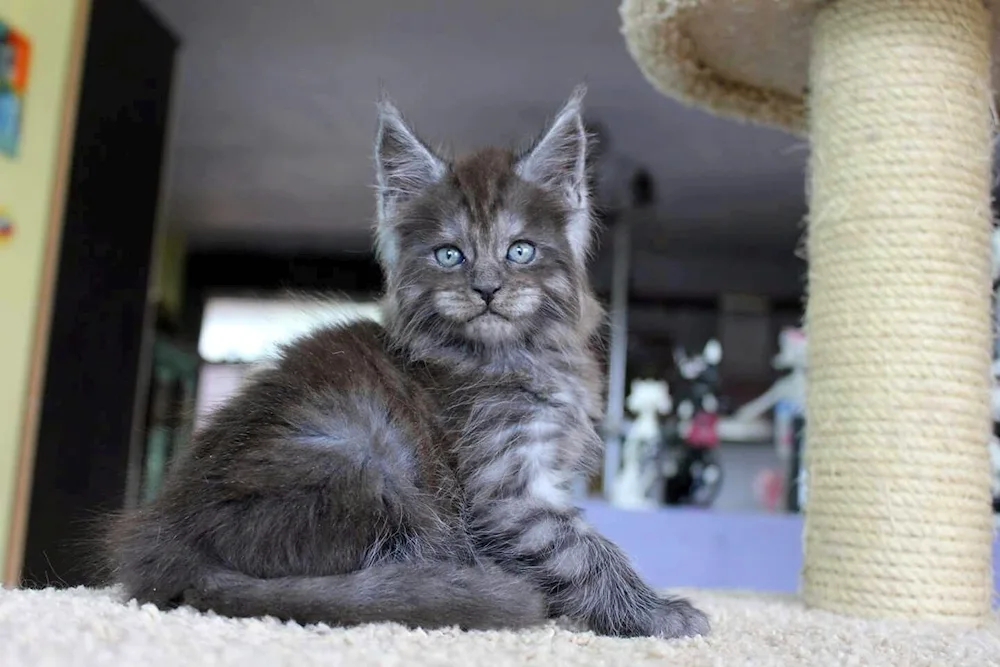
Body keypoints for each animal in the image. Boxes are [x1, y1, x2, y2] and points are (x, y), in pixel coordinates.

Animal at [103, 86, 712, 640]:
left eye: (520, 250)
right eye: (450, 255)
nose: (486, 288)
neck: (513, 354)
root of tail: (174, 544)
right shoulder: (506, 487)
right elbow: (582, 550)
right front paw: (658, 614)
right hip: (368, 466)